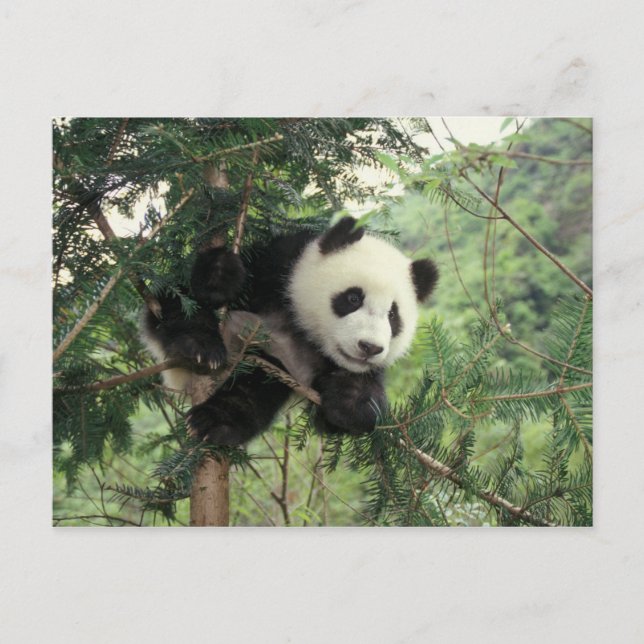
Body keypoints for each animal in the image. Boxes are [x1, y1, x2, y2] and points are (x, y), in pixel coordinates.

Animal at [142, 216, 438, 445]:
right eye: (353, 298)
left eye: (393, 316)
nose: (369, 347)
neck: (301, 328)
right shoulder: (278, 268)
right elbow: (192, 291)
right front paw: (220, 276)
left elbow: (345, 414)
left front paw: (350, 398)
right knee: (177, 303)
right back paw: (199, 350)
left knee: (256, 386)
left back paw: (216, 421)